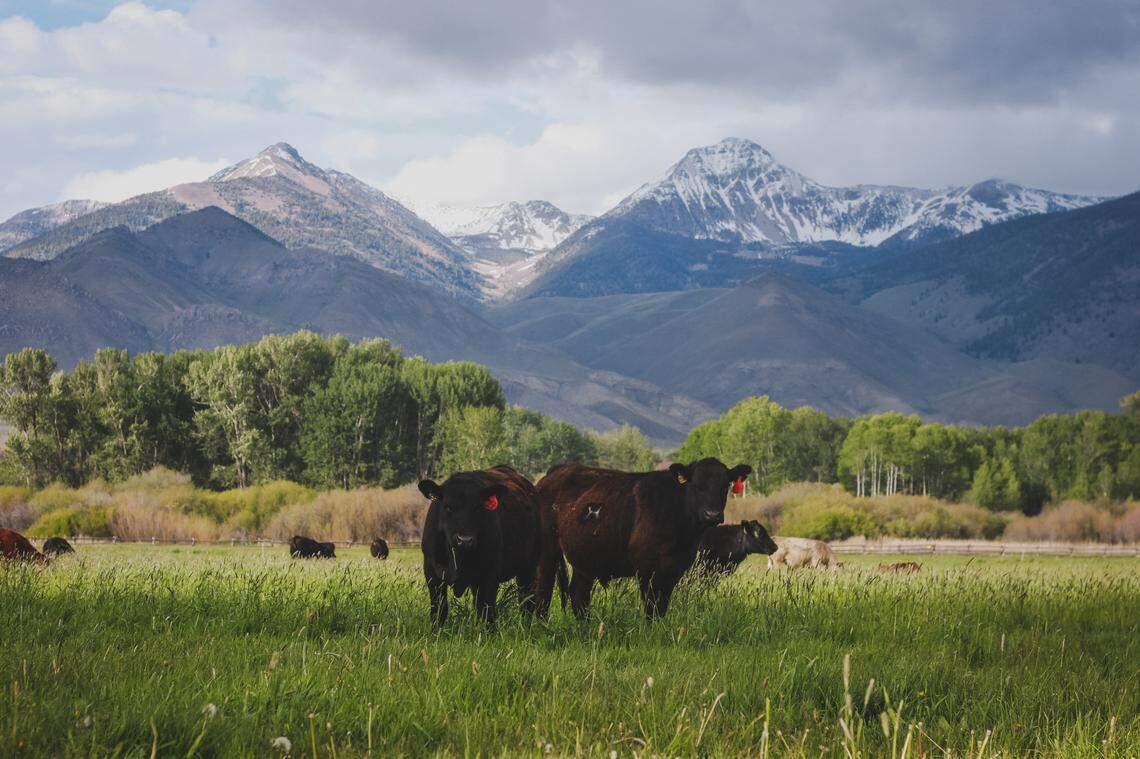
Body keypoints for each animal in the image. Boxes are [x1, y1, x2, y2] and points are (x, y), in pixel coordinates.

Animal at [418, 465, 541, 628]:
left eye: (477, 507)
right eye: (448, 507)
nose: (465, 540)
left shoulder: (489, 574)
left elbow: (487, 611)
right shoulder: (432, 571)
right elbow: (439, 609)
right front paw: (436, 631)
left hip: (528, 566)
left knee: (526, 601)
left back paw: (525, 627)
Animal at [534, 458, 752, 620]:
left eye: (724, 486)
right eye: (697, 485)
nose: (712, 514)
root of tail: (559, 470)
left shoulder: (675, 568)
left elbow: (661, 607)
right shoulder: (648, 567)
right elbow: (651, 606)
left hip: (586, 556)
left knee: (579, 594)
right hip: (547, 551)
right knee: (543, 591)